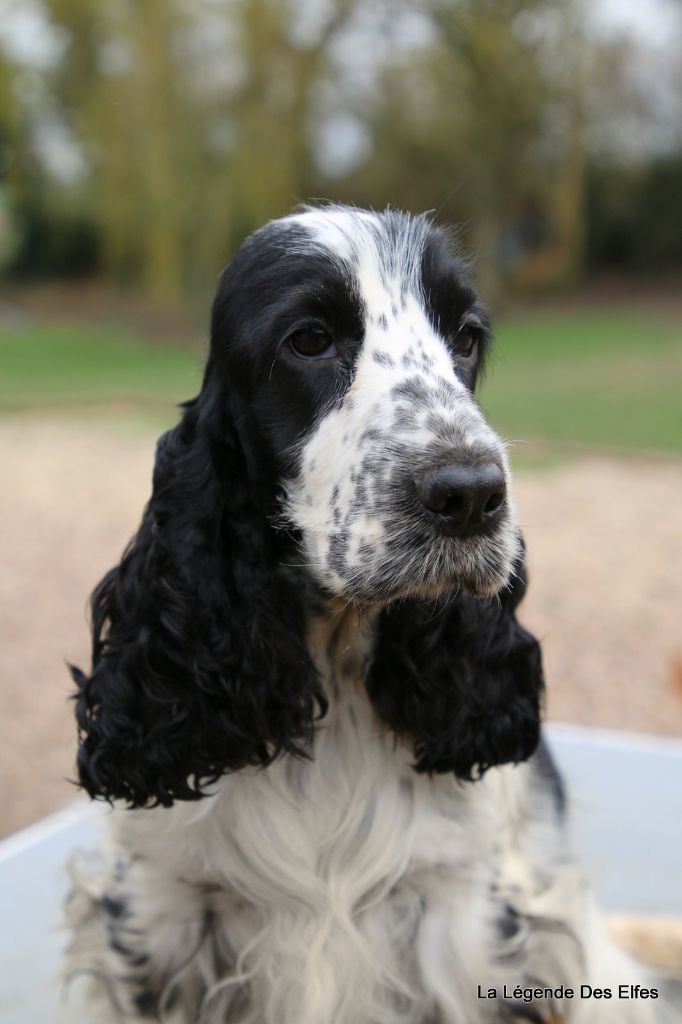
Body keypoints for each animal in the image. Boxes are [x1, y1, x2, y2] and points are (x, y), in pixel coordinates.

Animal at [63, 203, 675, 1019]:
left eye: (466, 337)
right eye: (309, 339)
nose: (471, 495)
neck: (333, 665)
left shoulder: (469, 919)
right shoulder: (161, 915)